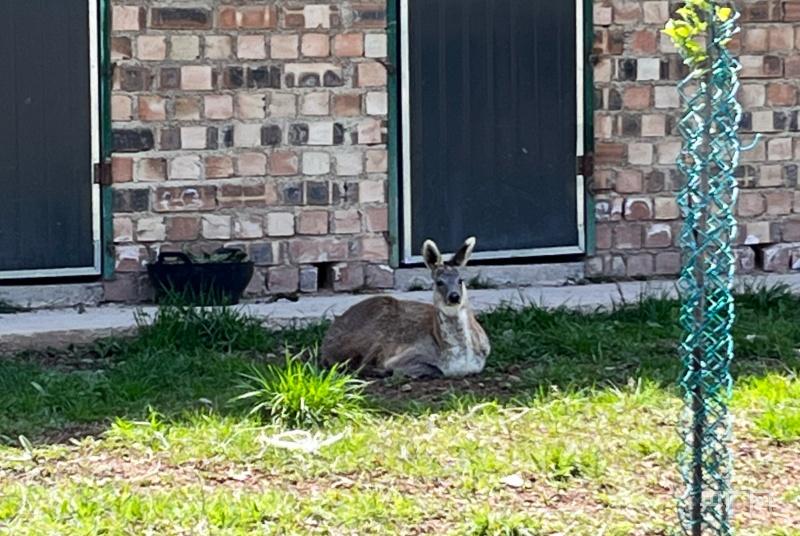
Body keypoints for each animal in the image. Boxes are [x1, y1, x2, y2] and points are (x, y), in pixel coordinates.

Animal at [322, 237, 490, 378]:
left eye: (460, 280)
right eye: (439, 282)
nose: (454, 296)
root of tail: (326, 341)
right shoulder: (405, 354)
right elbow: (435, 370)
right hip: (371, 337)